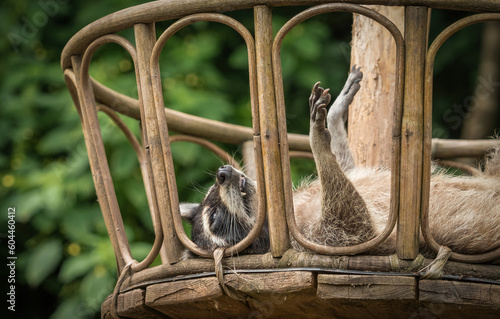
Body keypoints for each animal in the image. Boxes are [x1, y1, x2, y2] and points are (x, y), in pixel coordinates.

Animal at [182, 66, 500, 258]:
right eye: (215, 219)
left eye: (212, 193)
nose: (222, 173)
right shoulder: (317, 240)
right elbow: (355, 224)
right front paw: (317, 141)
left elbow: (350, 168)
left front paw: (335, 116)